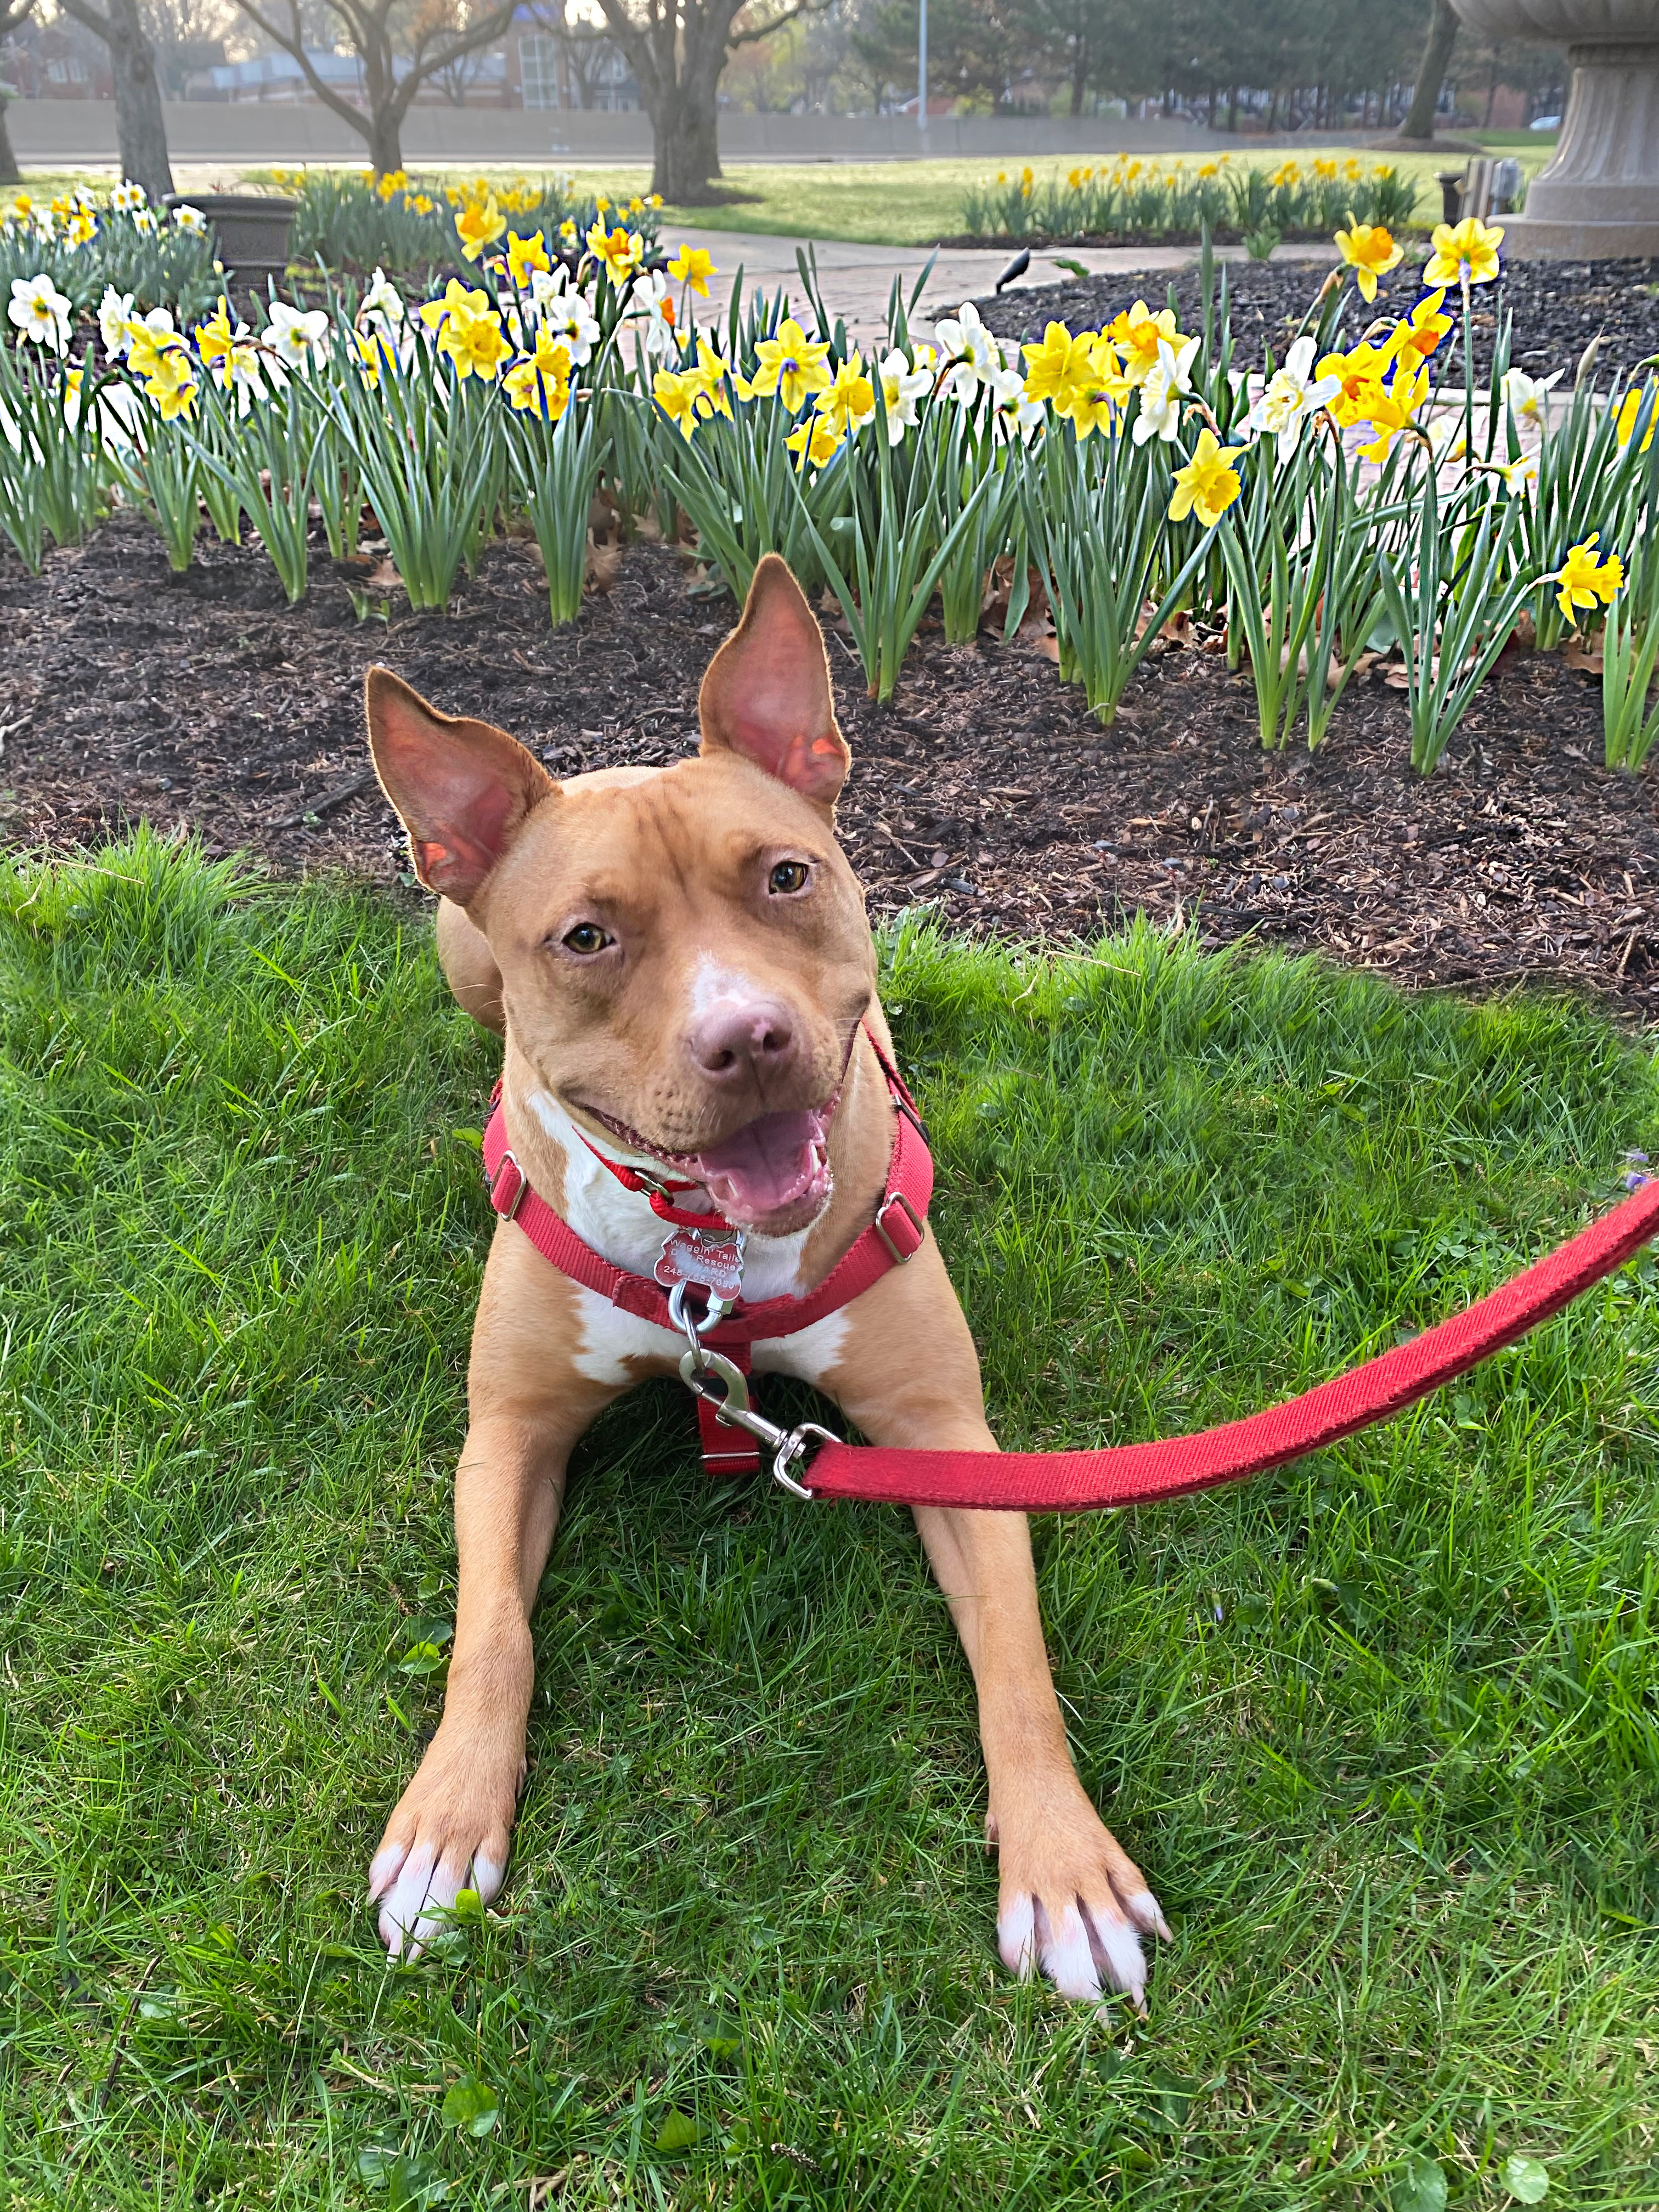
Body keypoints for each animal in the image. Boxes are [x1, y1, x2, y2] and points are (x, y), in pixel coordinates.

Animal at [367, 548, 1167, 2008]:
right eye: (586, 938)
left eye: (786, 875)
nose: (748, 1037)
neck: (706, 1260)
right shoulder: (507, 1433)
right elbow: (491, 1632)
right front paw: (446, 1825)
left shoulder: (941, 1435)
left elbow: (1015, 1656)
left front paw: (1066, 1871)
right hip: (453, 945)